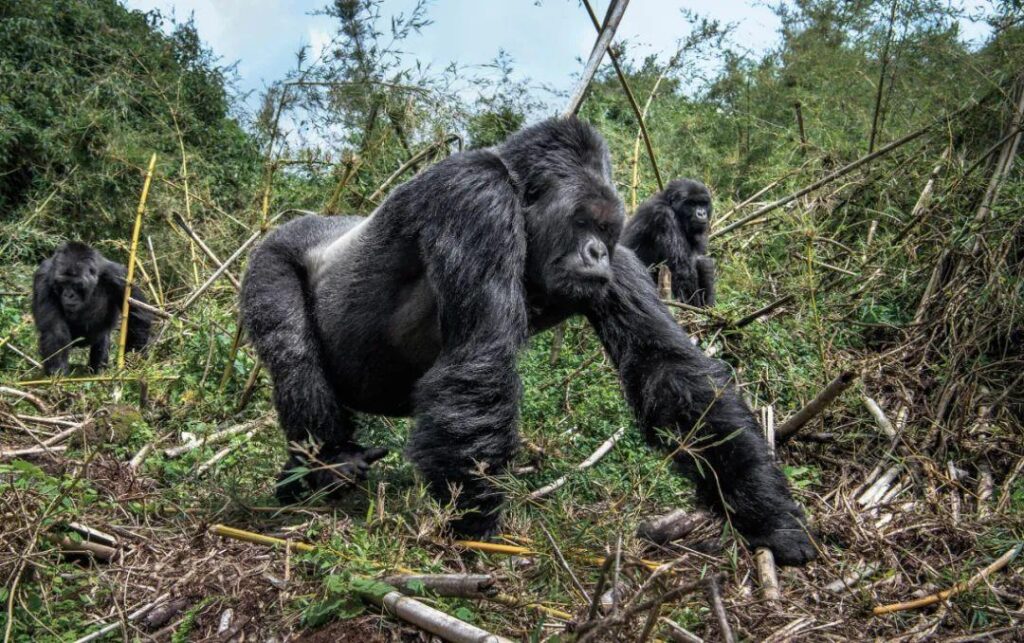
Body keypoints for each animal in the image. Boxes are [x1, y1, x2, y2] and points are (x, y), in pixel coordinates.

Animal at [33, 241, 151, 374]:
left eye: (76, 284)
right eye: (62, 283)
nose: (68, 295)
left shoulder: (117, 275)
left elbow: (136, 315)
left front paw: (134, 360)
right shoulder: (43, 277)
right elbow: (55, 330)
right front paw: (57, 371)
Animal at [618, 176, 716, 307]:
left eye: (703, 203)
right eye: (692, 204)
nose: (701, 213)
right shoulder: (664, 216)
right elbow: (682, 272)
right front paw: (693, 308)